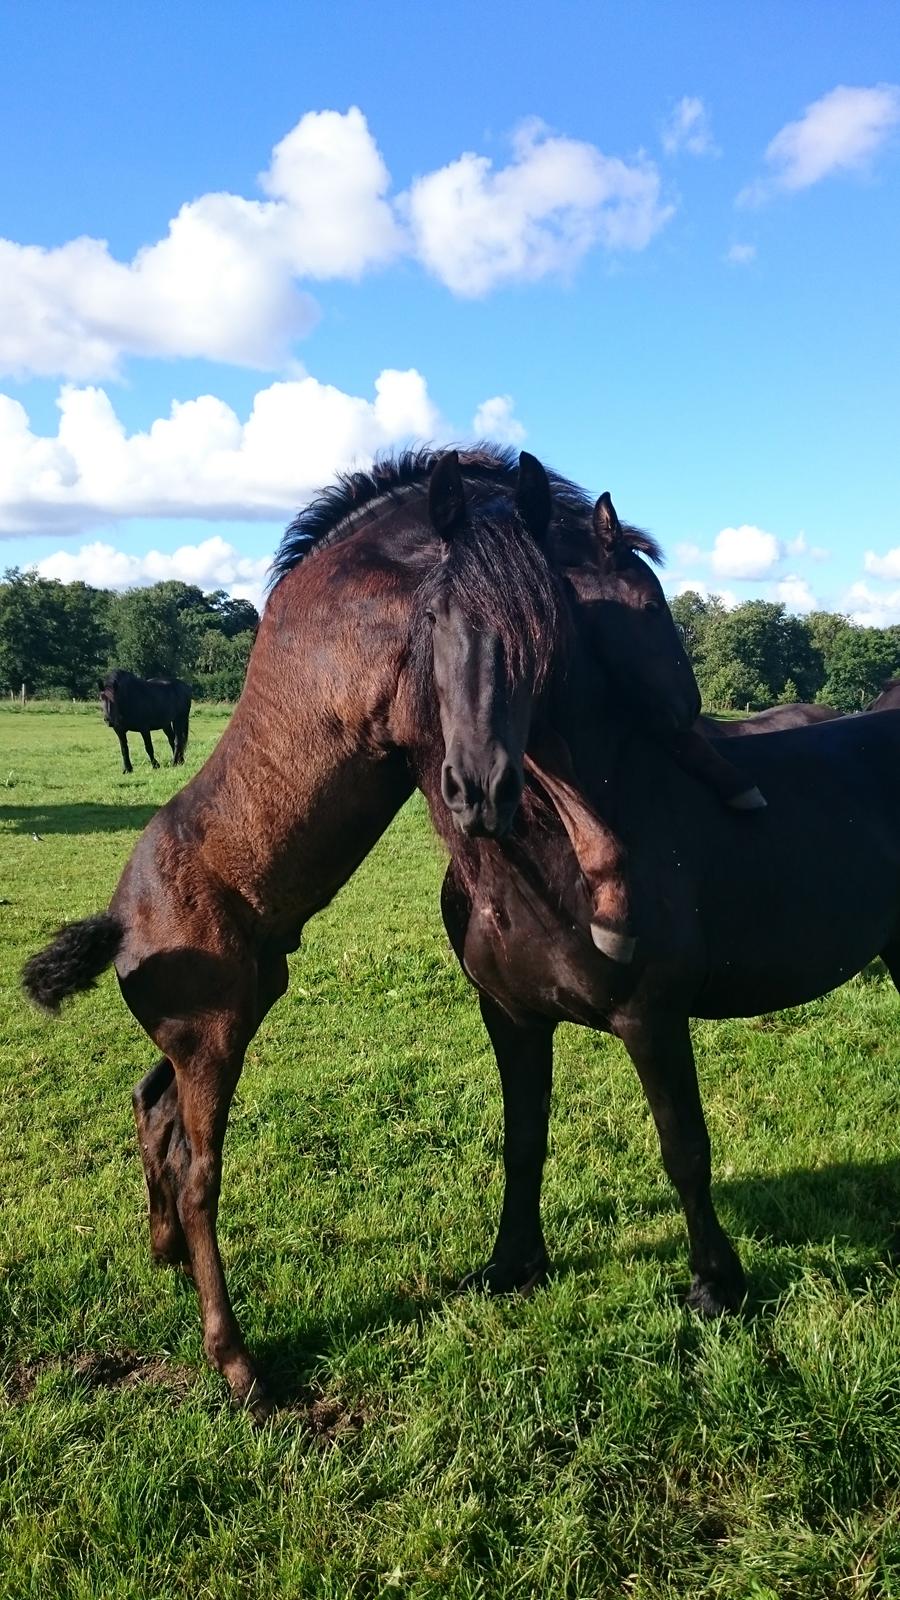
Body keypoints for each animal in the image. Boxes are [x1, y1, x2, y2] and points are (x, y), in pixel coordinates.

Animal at [19, 448, 695, 1414]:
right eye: (643, 599)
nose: (690, 712)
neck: (377, 588)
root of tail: (116, 927)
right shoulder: (426, 735)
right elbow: (532, 788)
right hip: (216, 1037)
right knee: (198, 1173)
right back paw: (238, 1366)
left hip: (223, 1015)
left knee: (152, 1108)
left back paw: (166, 1259)